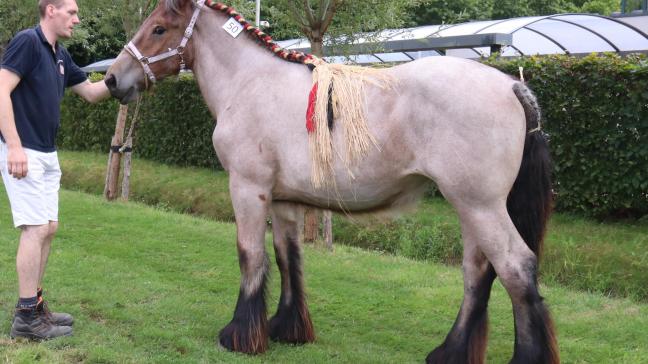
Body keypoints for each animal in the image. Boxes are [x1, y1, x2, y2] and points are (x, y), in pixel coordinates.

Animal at [104, 1, 560, 362]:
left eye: (159, 29)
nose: (111, 79)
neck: (251, 82)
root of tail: (512, 84)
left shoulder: (248, 189)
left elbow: (251, 255)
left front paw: (241, 335)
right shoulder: (284, 200)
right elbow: (287, 257)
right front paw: (287, 328)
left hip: (479, 206)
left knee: (516, 268)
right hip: (470, 208)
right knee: (478, 272)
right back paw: (450, 352)